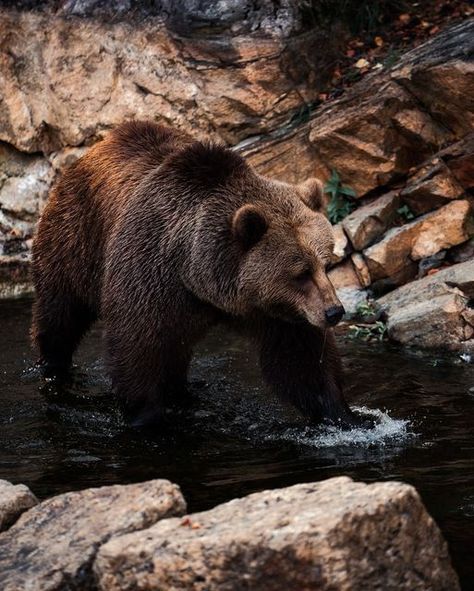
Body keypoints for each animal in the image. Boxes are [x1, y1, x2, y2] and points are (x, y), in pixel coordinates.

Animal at [32, 121, 360, 426]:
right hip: (77, 238)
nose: (334, 312)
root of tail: (100, 144)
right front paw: (145, 415)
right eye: (300, 273)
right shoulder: (150, 271)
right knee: (61, 312)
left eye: (325, 264)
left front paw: (340, 413)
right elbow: (136, 344)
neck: (199, 277)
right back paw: (53, 369)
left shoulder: (275, 310)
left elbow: (301, 358)